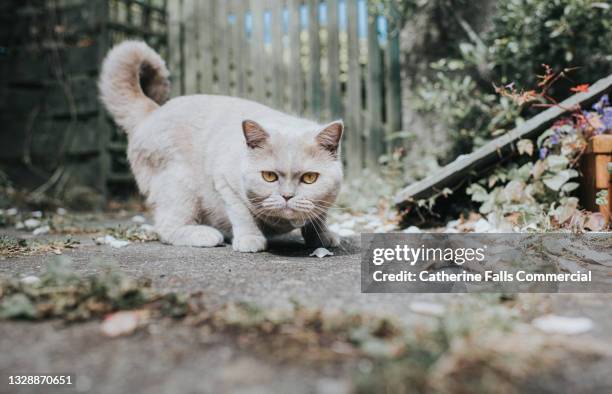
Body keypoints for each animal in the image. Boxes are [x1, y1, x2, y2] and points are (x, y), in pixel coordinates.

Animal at [98, 40, 342, 252]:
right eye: (269, 176)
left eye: (310, 178)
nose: (287, 196)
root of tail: (152, 112)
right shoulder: (224, 180)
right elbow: (241, 212)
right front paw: (250, 239)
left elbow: (319, 215)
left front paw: (322, 237)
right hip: (179, 184)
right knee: (167, 226)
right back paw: (206, 235)